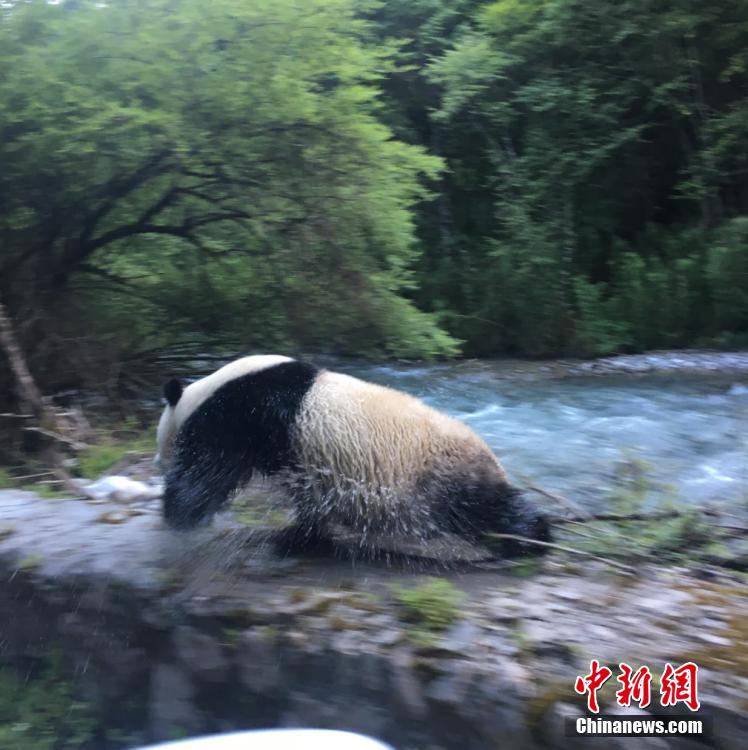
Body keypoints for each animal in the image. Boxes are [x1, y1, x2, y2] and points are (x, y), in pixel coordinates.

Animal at [155, 356, 552, 556]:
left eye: (164, 447)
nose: (158, 465)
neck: (208, 389)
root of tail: (493, 459)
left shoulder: (243, 413)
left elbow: (209, 468)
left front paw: (177, 513)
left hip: (444, 472)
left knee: (488, 506)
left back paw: (531, 535)